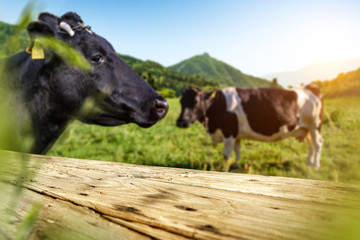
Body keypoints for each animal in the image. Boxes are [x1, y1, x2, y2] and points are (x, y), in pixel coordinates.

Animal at [177, 85, 324, 171]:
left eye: (196, 102)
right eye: (181, 101)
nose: (180, 122)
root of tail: (311, 88)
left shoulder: (229, 132)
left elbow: (226, 155)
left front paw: (224, 170)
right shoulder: (235, 133)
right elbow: (237, 150)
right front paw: (236, 165)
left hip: (315, 125)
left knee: (317, 144)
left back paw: (316, 166)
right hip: (305, 128)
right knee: (311, 145)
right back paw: (308, 163)